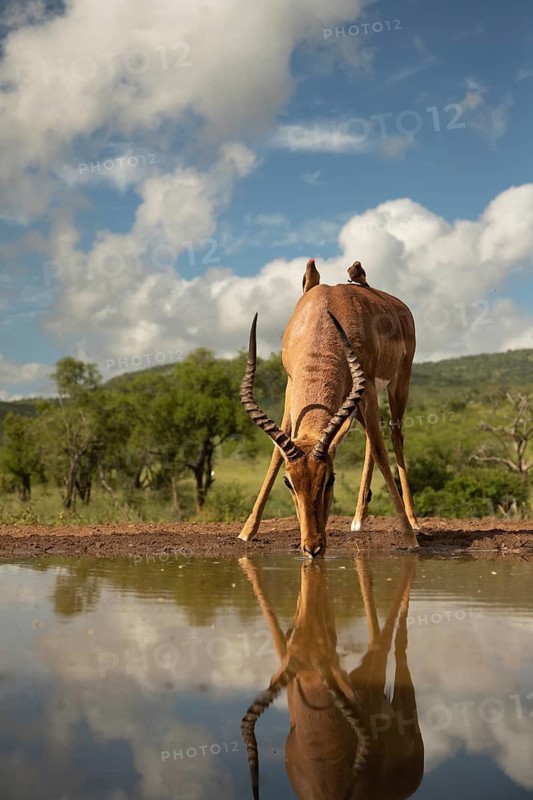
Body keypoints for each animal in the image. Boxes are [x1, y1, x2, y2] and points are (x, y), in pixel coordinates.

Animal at [239, 275, 419, 557]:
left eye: (330, 479)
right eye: (288, 483)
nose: (313, 547)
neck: (322, 316)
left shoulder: (366, 384)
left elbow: (382, 452)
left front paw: (409, 538)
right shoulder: (291, 385)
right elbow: (276, 455)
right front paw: (247, 531)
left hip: (399, 383)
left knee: (394, 437)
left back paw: (412, 521)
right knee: (371, 436)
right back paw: (358, 520)